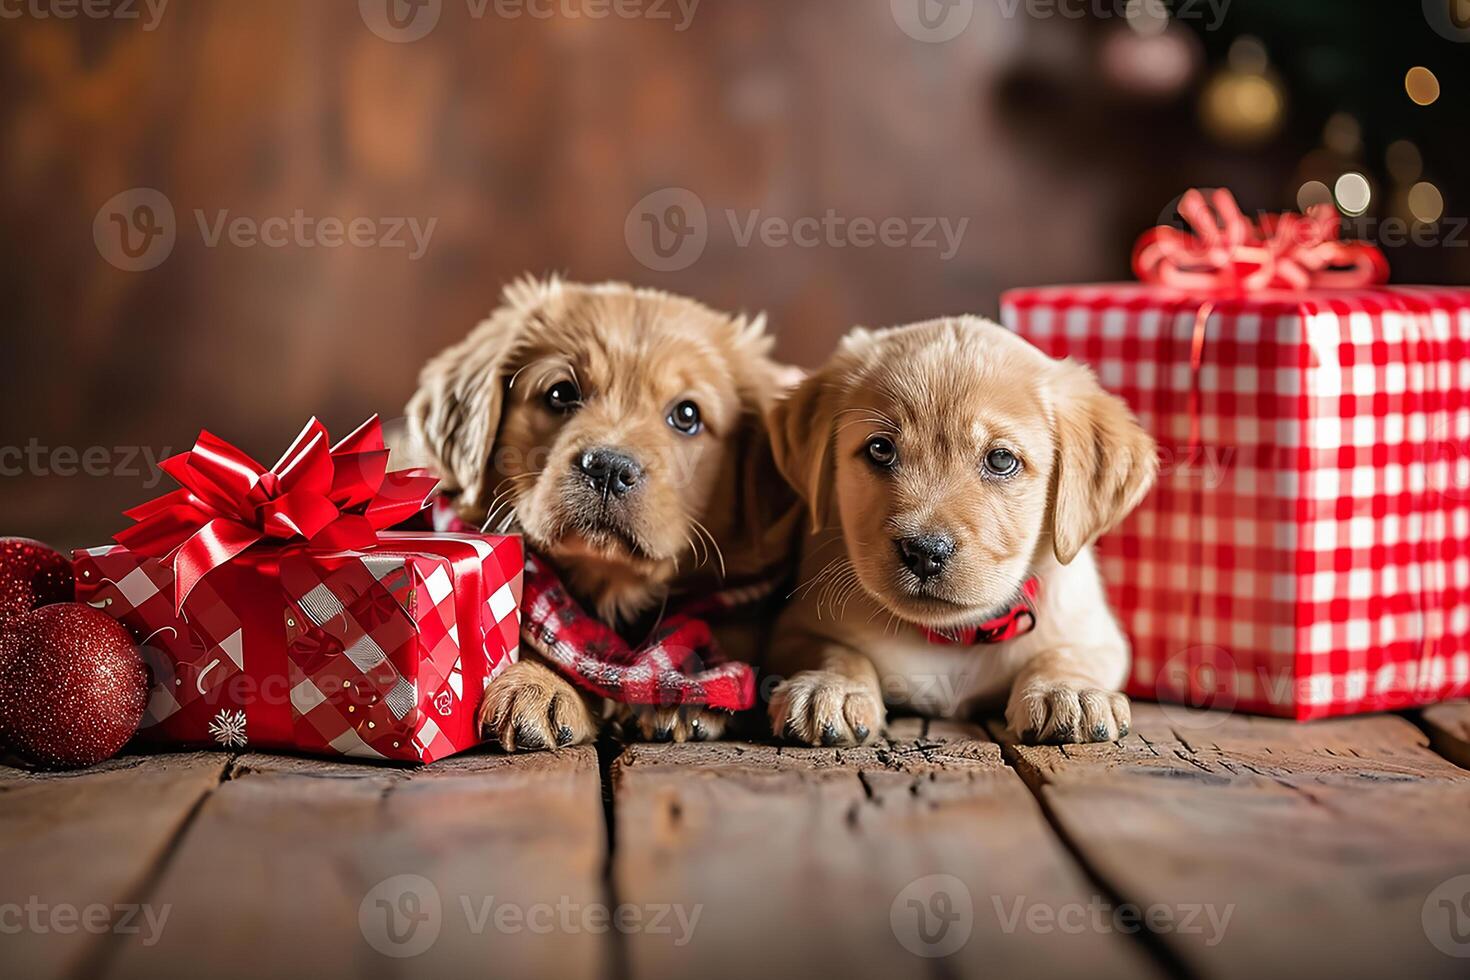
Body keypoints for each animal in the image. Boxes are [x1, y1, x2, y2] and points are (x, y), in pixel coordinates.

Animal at [764, 318, 1152, 746]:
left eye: (1000, 460)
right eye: (880, 449)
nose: (924, 551)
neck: (952, 636)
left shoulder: (1100, 636)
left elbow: (1064, 653)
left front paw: (1068, 690)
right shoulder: (792, 630)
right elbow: (836, 651)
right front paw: (831, 686)